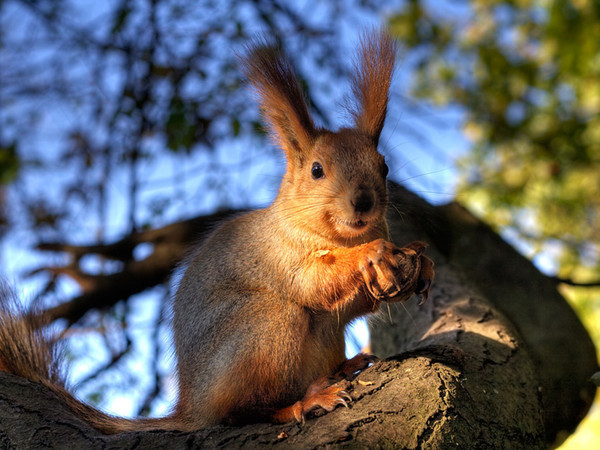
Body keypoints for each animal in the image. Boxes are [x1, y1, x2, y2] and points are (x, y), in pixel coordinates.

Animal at [0, 30, 432, 432]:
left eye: (383, 166)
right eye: (316, 170)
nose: (363, 202)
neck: (342, 235)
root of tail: (192, 407)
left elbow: (359, 304)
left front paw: (418, 260)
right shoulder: (280, 255)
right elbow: (314, 282)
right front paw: (373, 253)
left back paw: (343, 367)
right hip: (266, 327)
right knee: (241, 411)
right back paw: (306, 402)